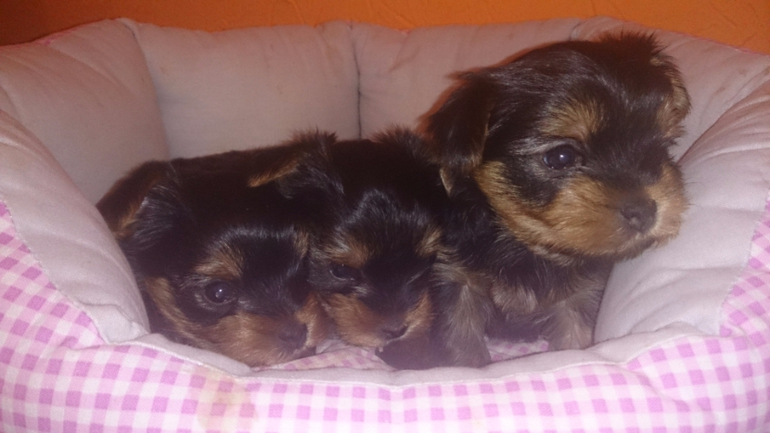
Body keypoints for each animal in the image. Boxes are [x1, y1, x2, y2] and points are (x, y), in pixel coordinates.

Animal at [417, 32, 690, 367]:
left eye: (664, 145)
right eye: (560, 157)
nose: (645, 210)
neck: (529, 246)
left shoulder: (581, 295)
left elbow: (576, 340)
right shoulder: (457, 278)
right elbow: (460, 337)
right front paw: (467, 366)